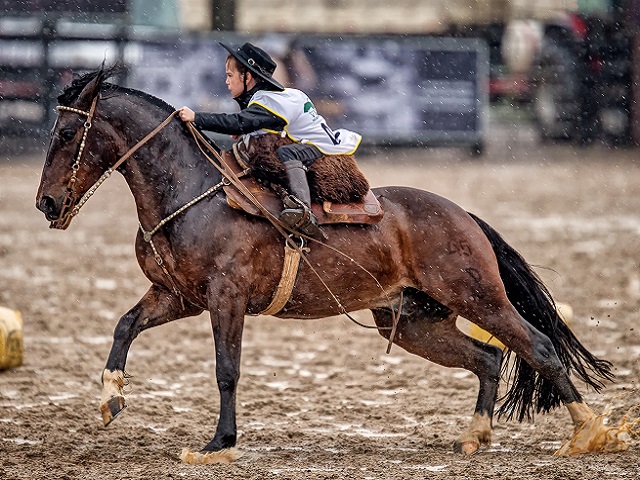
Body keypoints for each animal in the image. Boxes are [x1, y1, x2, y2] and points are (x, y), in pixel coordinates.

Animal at [36, 66, 616, 462]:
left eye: (66, 134)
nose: (46, 203)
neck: (193, 195)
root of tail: (462, 214)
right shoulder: (178, 296)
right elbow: (125, 325)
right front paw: (111, 399)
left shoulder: (227, 299)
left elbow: (227, 370)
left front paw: (219, 442)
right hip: (414, 321)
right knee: (489, 358)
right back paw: (476, 435)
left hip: (478, 297)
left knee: (537, 346)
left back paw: (588, 432)